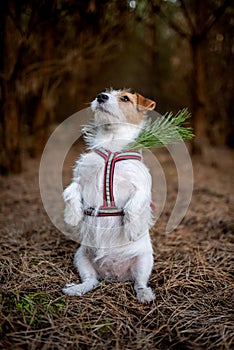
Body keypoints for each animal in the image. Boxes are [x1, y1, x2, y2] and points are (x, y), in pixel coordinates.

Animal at [63, 89, 156, 304]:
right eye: (105, 92)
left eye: (125, 98)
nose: (101, 96)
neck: (112, 145)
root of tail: (114, 275)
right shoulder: (80, 179)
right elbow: (70, 192)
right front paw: (72, 216)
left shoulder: (141, 189)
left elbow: (132, 206)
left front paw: (132, 229)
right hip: (81, 257)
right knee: (91, 280)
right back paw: (76, 288)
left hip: (144, 261)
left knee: (139, 282)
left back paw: (145, 295)